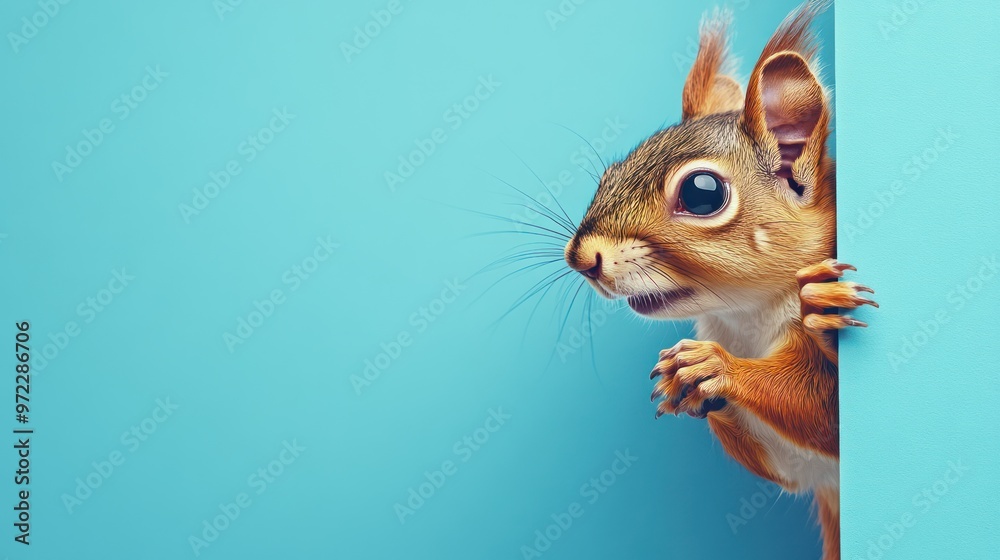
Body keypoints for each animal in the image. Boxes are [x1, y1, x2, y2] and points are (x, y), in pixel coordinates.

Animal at [561, 3, 875, 559]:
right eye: (609, 175)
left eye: (702, 193)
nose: (582, 258)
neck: (744, 319)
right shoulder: (800, 470)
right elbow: (787, 466)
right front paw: (686, 386)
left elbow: (822, 412)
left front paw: (715, 366)